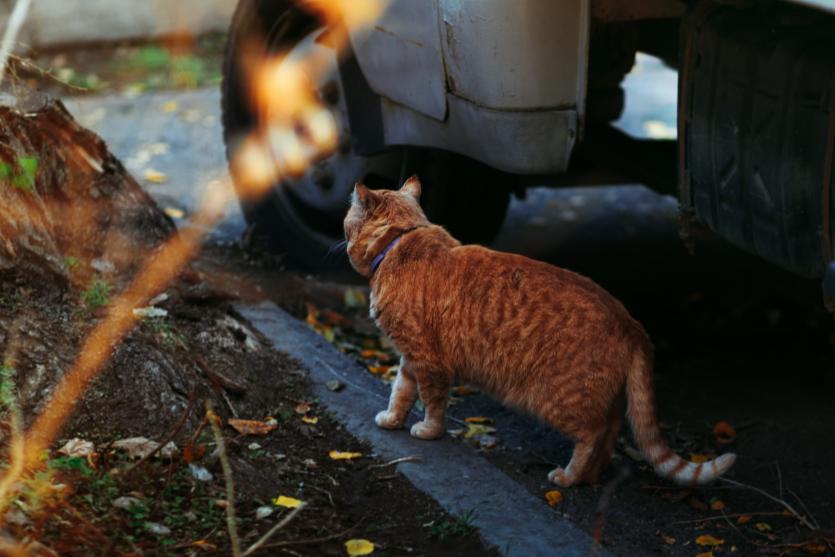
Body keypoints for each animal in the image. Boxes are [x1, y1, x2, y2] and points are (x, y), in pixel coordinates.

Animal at [346, 176, 740, 484]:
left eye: (347, 223)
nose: (343, 238)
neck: (398, 244)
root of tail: (630, 320)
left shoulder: (428, 361)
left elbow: (432, 402)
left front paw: (428, 431)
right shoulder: (411, 356)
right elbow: (400, 391)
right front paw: (392, 419)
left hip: (559, 399)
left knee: (593, 435)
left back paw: (569, 477)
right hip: (601, 397)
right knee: (611, 434)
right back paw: (590, 478)